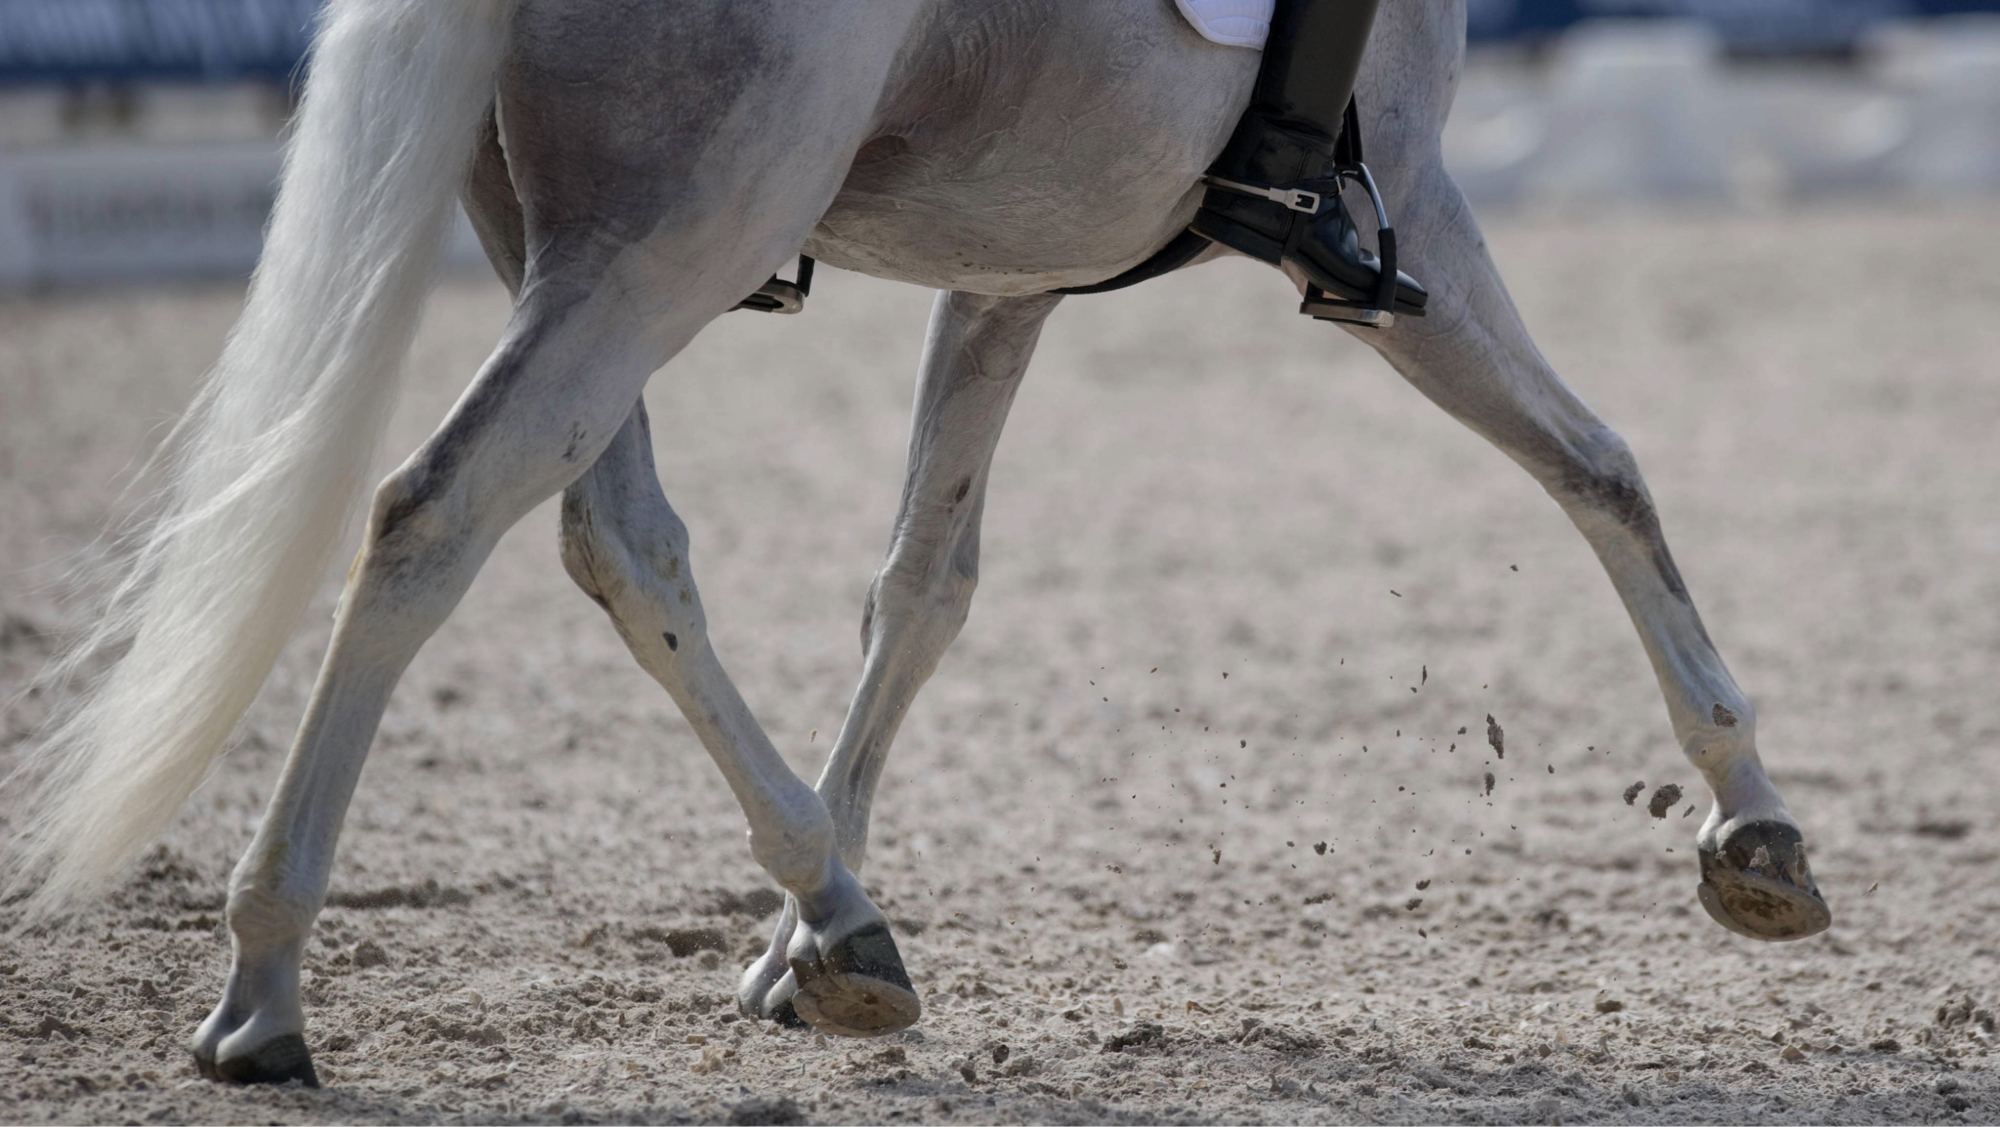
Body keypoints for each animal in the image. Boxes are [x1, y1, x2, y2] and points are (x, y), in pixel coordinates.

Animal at [7, 0, 1829, 1086]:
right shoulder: (1411, 220)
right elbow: (1602, 467)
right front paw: (1754, 821)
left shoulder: (1014, 268)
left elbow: (921, 589)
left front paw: (789, 947)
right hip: (673, 236)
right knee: (432, 515)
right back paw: (264, 990)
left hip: (572, 239)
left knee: (617, 537)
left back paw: (840, 907)